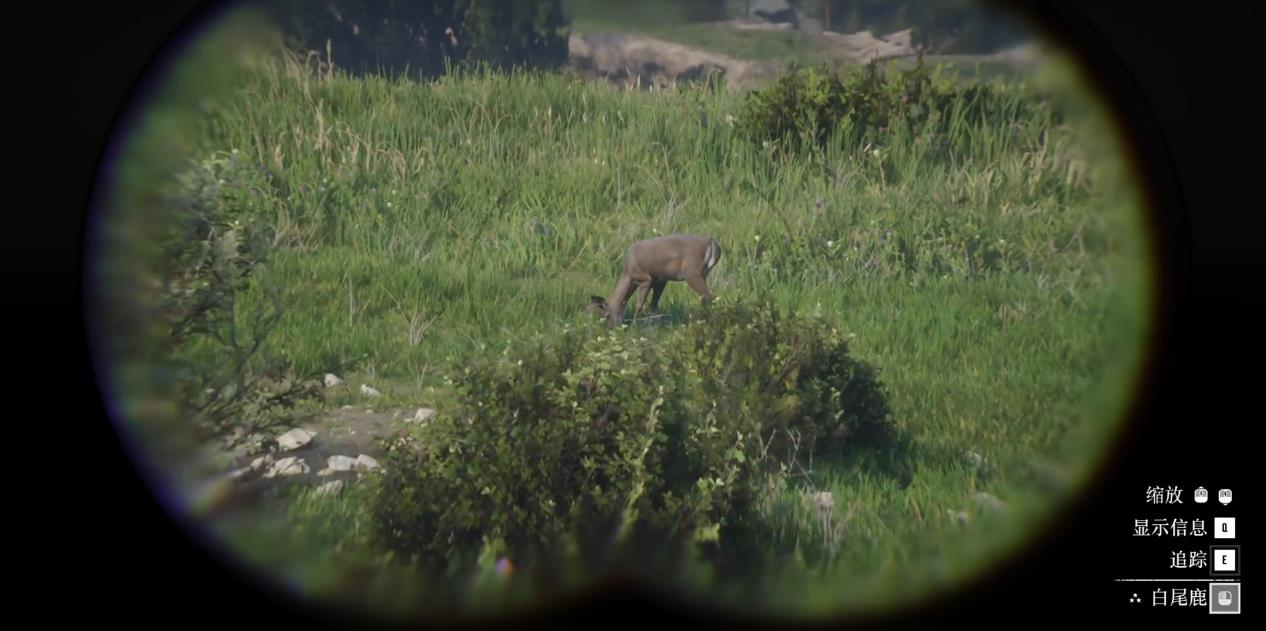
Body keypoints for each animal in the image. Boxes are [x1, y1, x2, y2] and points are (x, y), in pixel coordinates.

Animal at [588, 234, 722, 326]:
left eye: (607, 316)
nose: (614, 328)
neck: (628, 274)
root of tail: (712, 242)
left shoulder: (645, 279)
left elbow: (640, 304)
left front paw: (635, 325)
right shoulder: (660, 281)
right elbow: (653, 305)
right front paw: (653, 325)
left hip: (692, 273)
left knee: (710, 296)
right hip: (703, 274)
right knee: (707, 297)